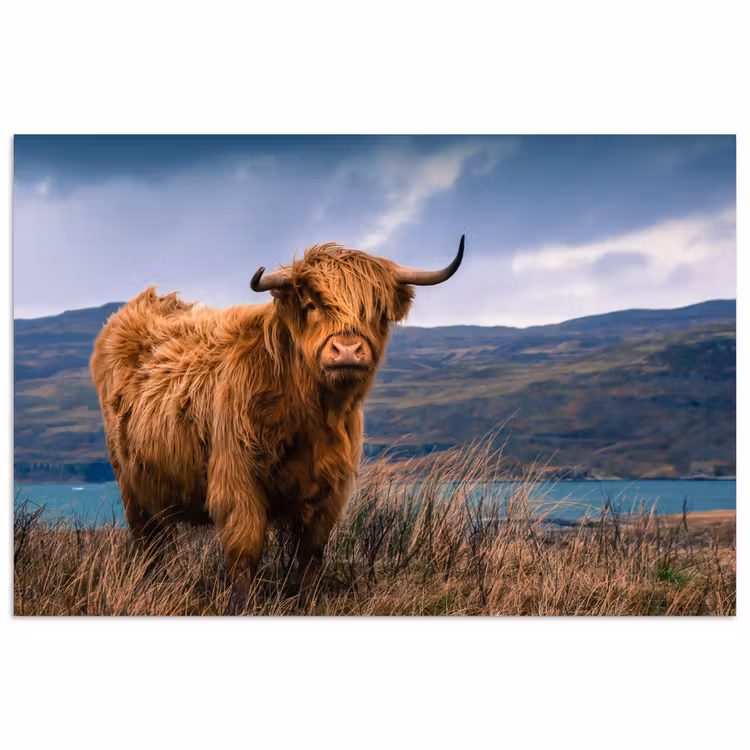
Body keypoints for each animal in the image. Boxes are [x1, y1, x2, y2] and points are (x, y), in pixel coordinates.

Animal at [90, 236, 465, 612]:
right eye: (312, 304)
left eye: (376, 310)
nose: (347, 350)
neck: (311, 415)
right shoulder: (237, 481)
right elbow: (244, 552)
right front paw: (239, 607)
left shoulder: (330, 490)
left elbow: (311, 554)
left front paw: (307, 603)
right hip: (132, 487)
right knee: (149, 545)